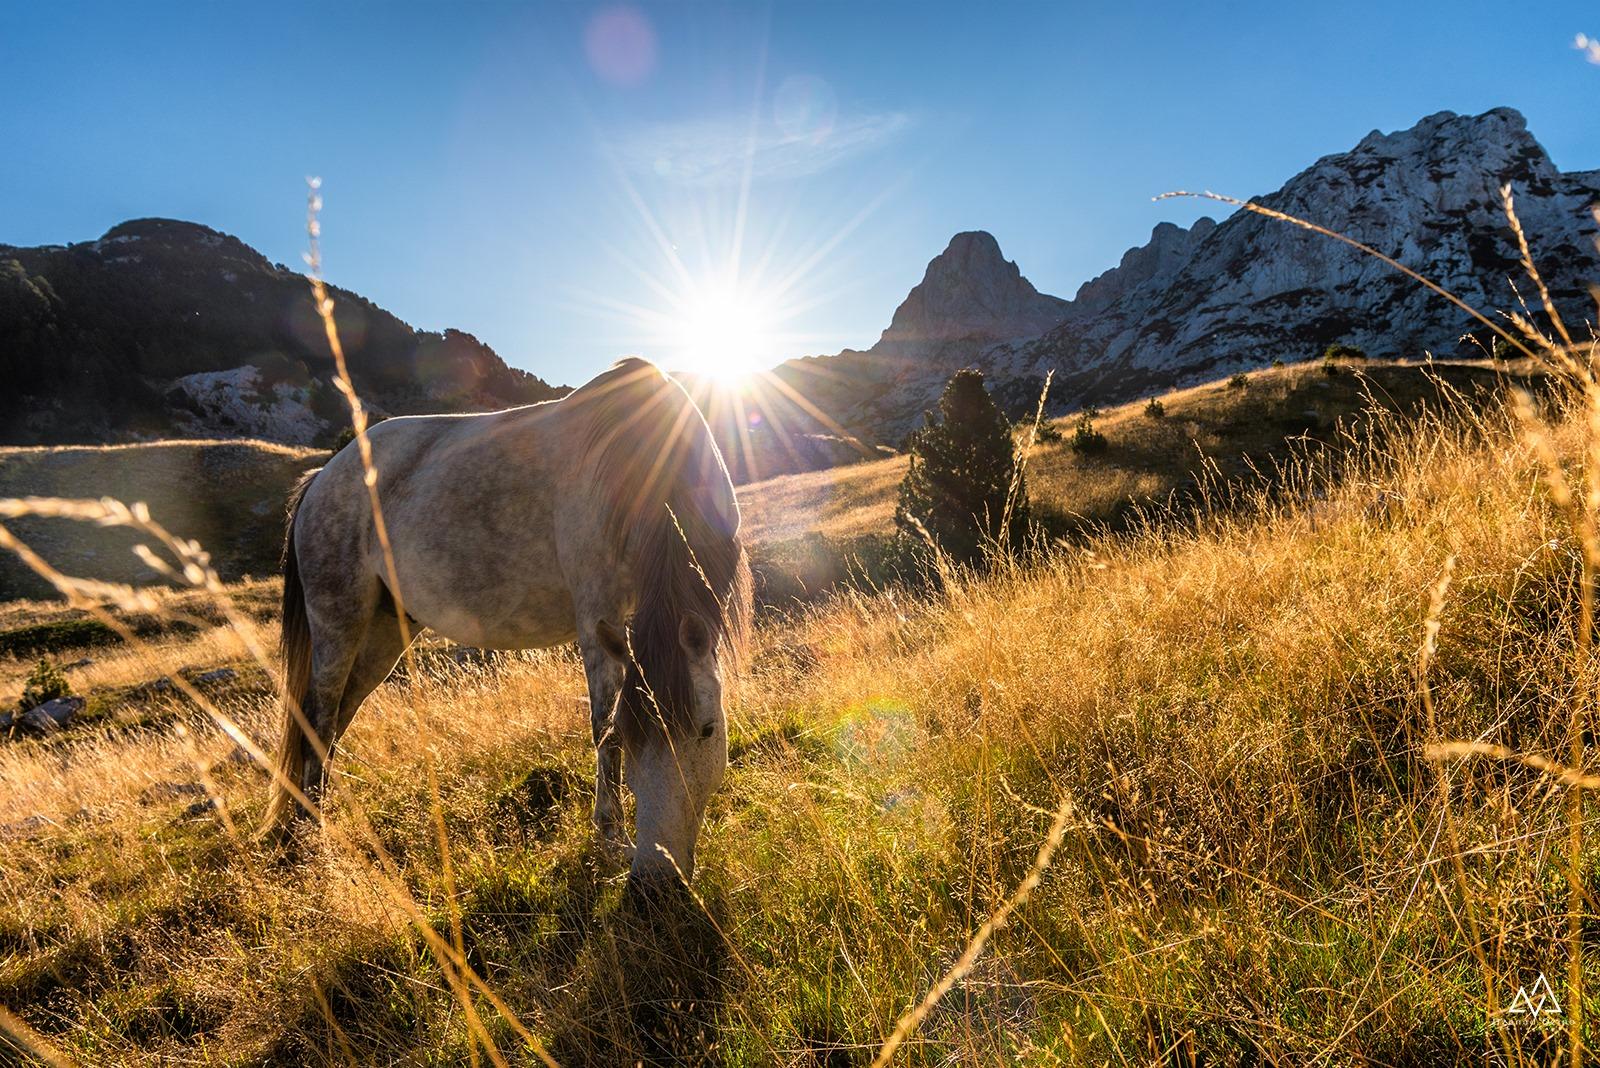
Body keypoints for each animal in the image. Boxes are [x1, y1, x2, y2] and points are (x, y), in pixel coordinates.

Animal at [260, 354, 748, 882]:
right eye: (633, 737)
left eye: (707, 729)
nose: (654, 880)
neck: (643, 460)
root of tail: (321, 479)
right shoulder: (598, 614)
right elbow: (603, 722)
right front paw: (610, 837)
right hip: (339, 621)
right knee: (319, 718)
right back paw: (314, 839)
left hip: (384, 632)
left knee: (336, 720)